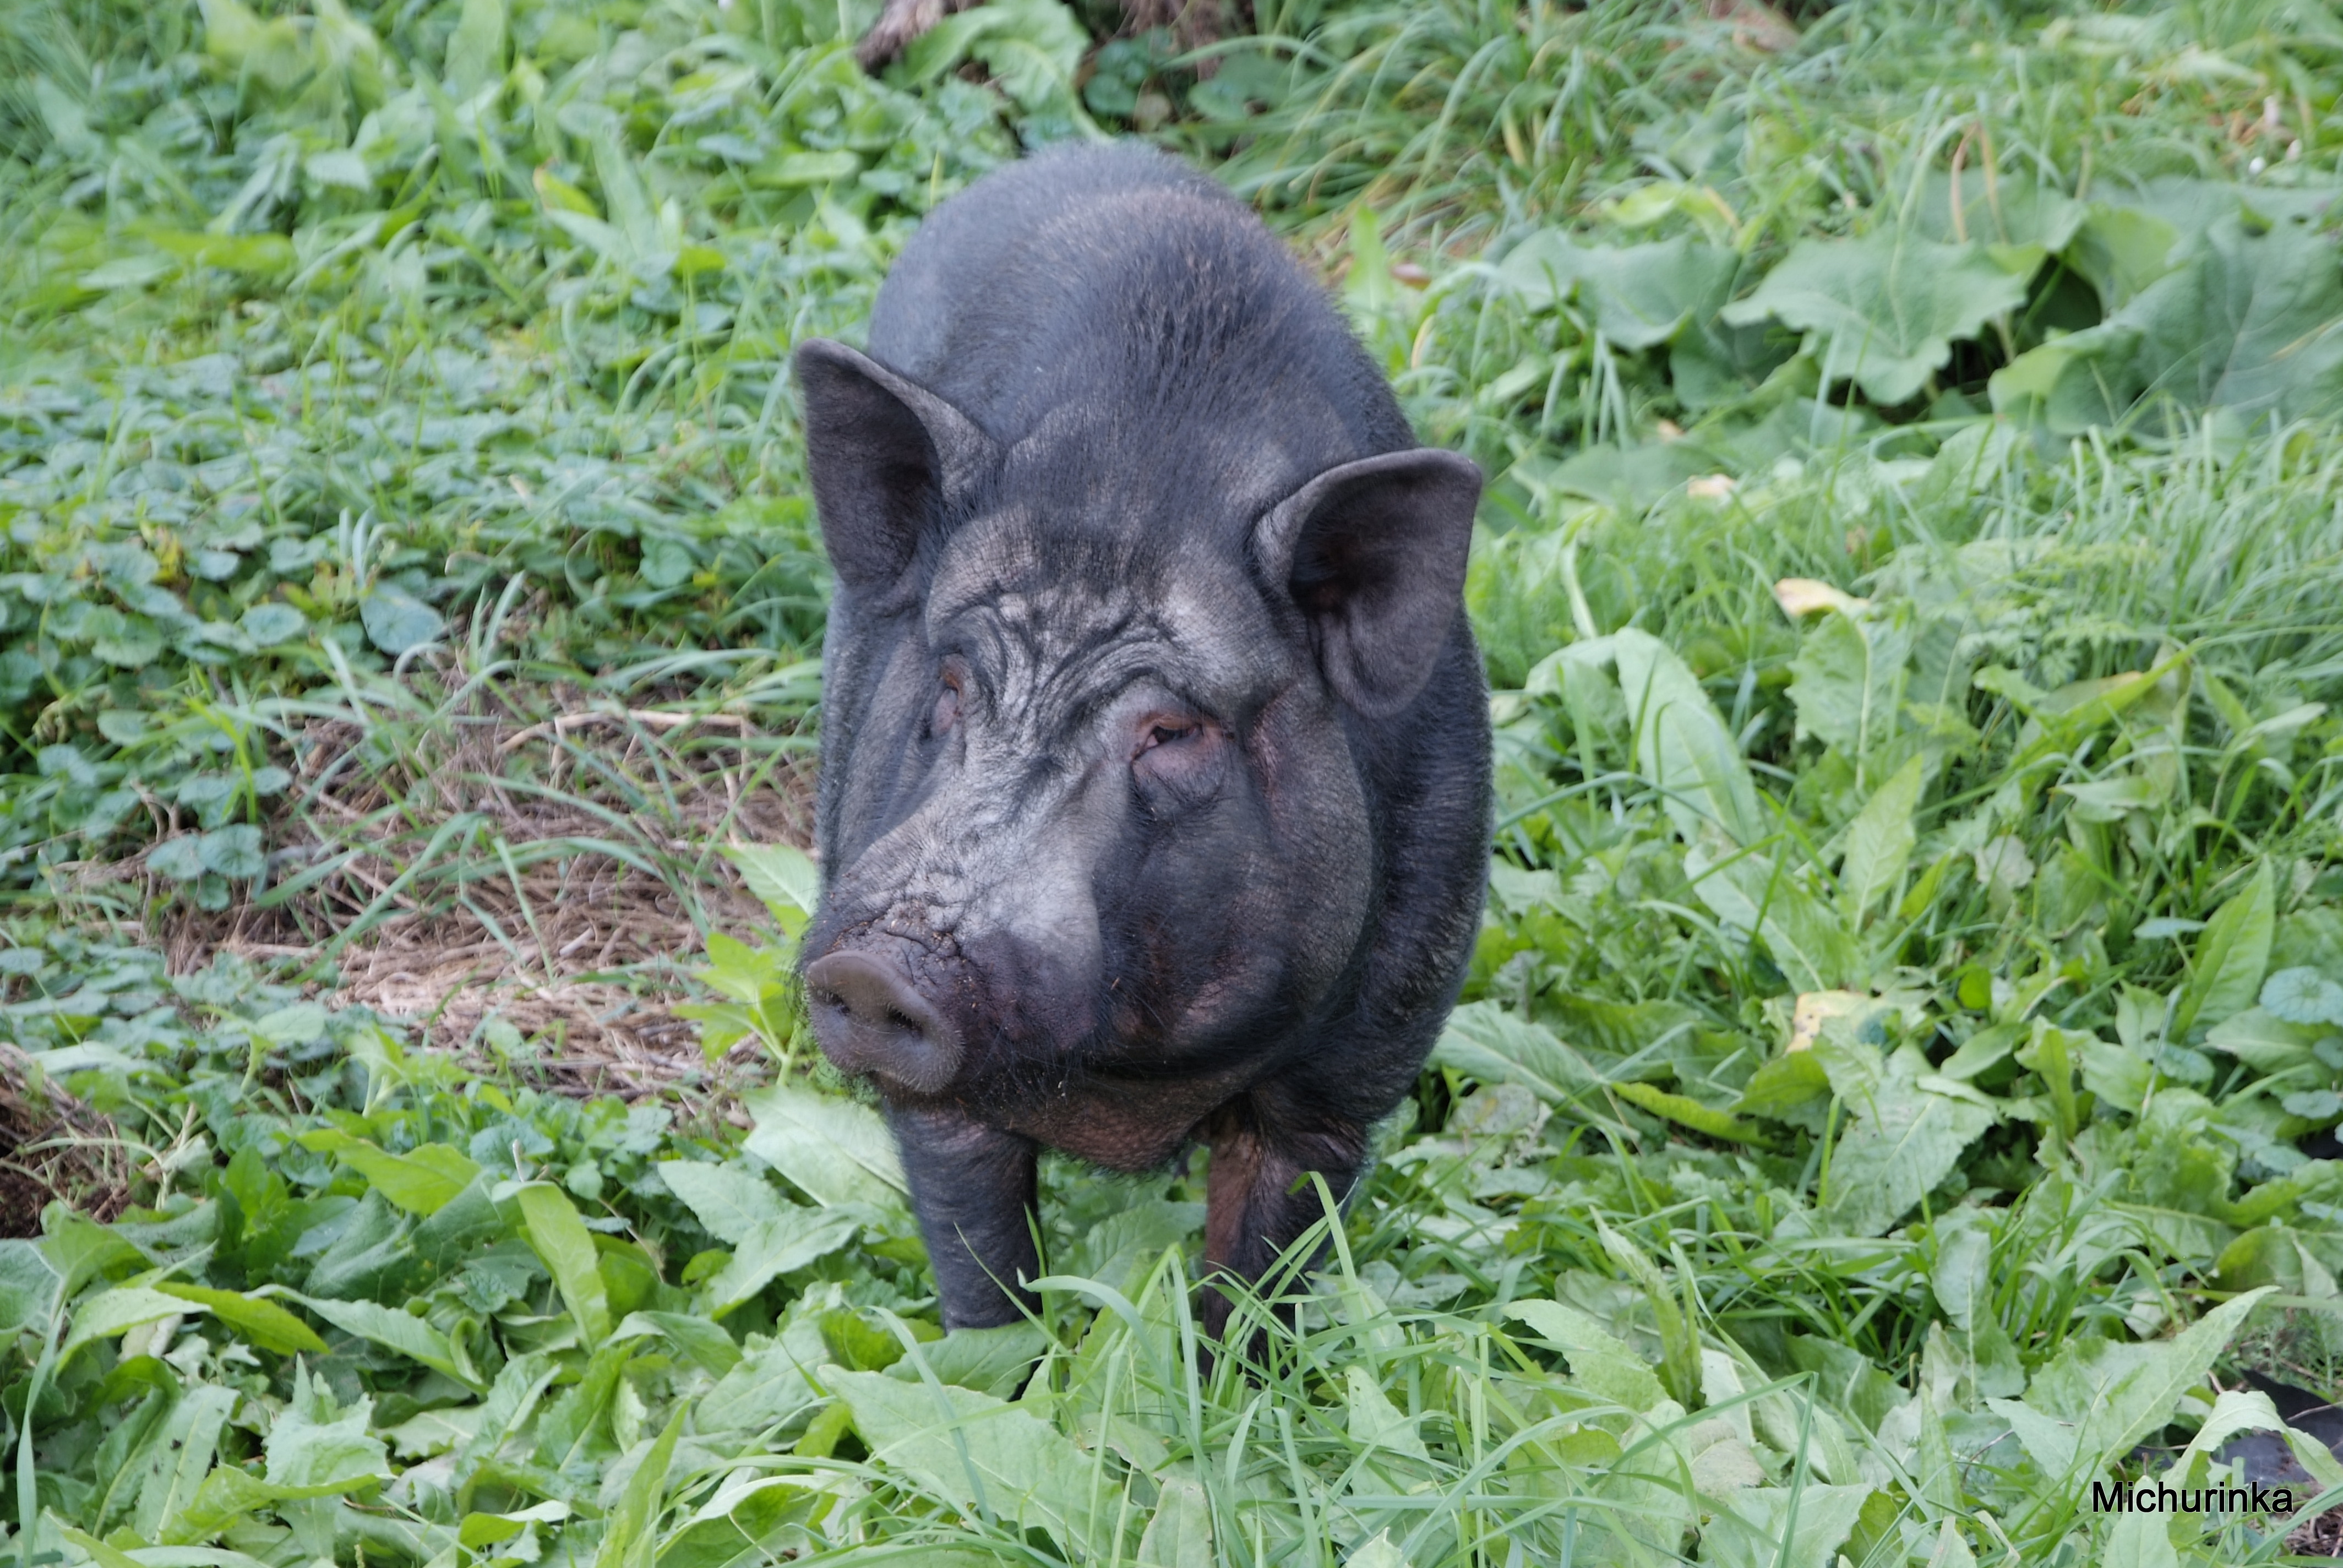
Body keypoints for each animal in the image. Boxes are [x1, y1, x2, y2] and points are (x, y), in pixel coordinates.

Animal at [787, 146, 1480, 1341]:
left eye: (1170, 730)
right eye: (953, 684)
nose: (878, 967)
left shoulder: (1345, 1081)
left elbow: (1254, 1281)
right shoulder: (936, 1108)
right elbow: (986, 1280)